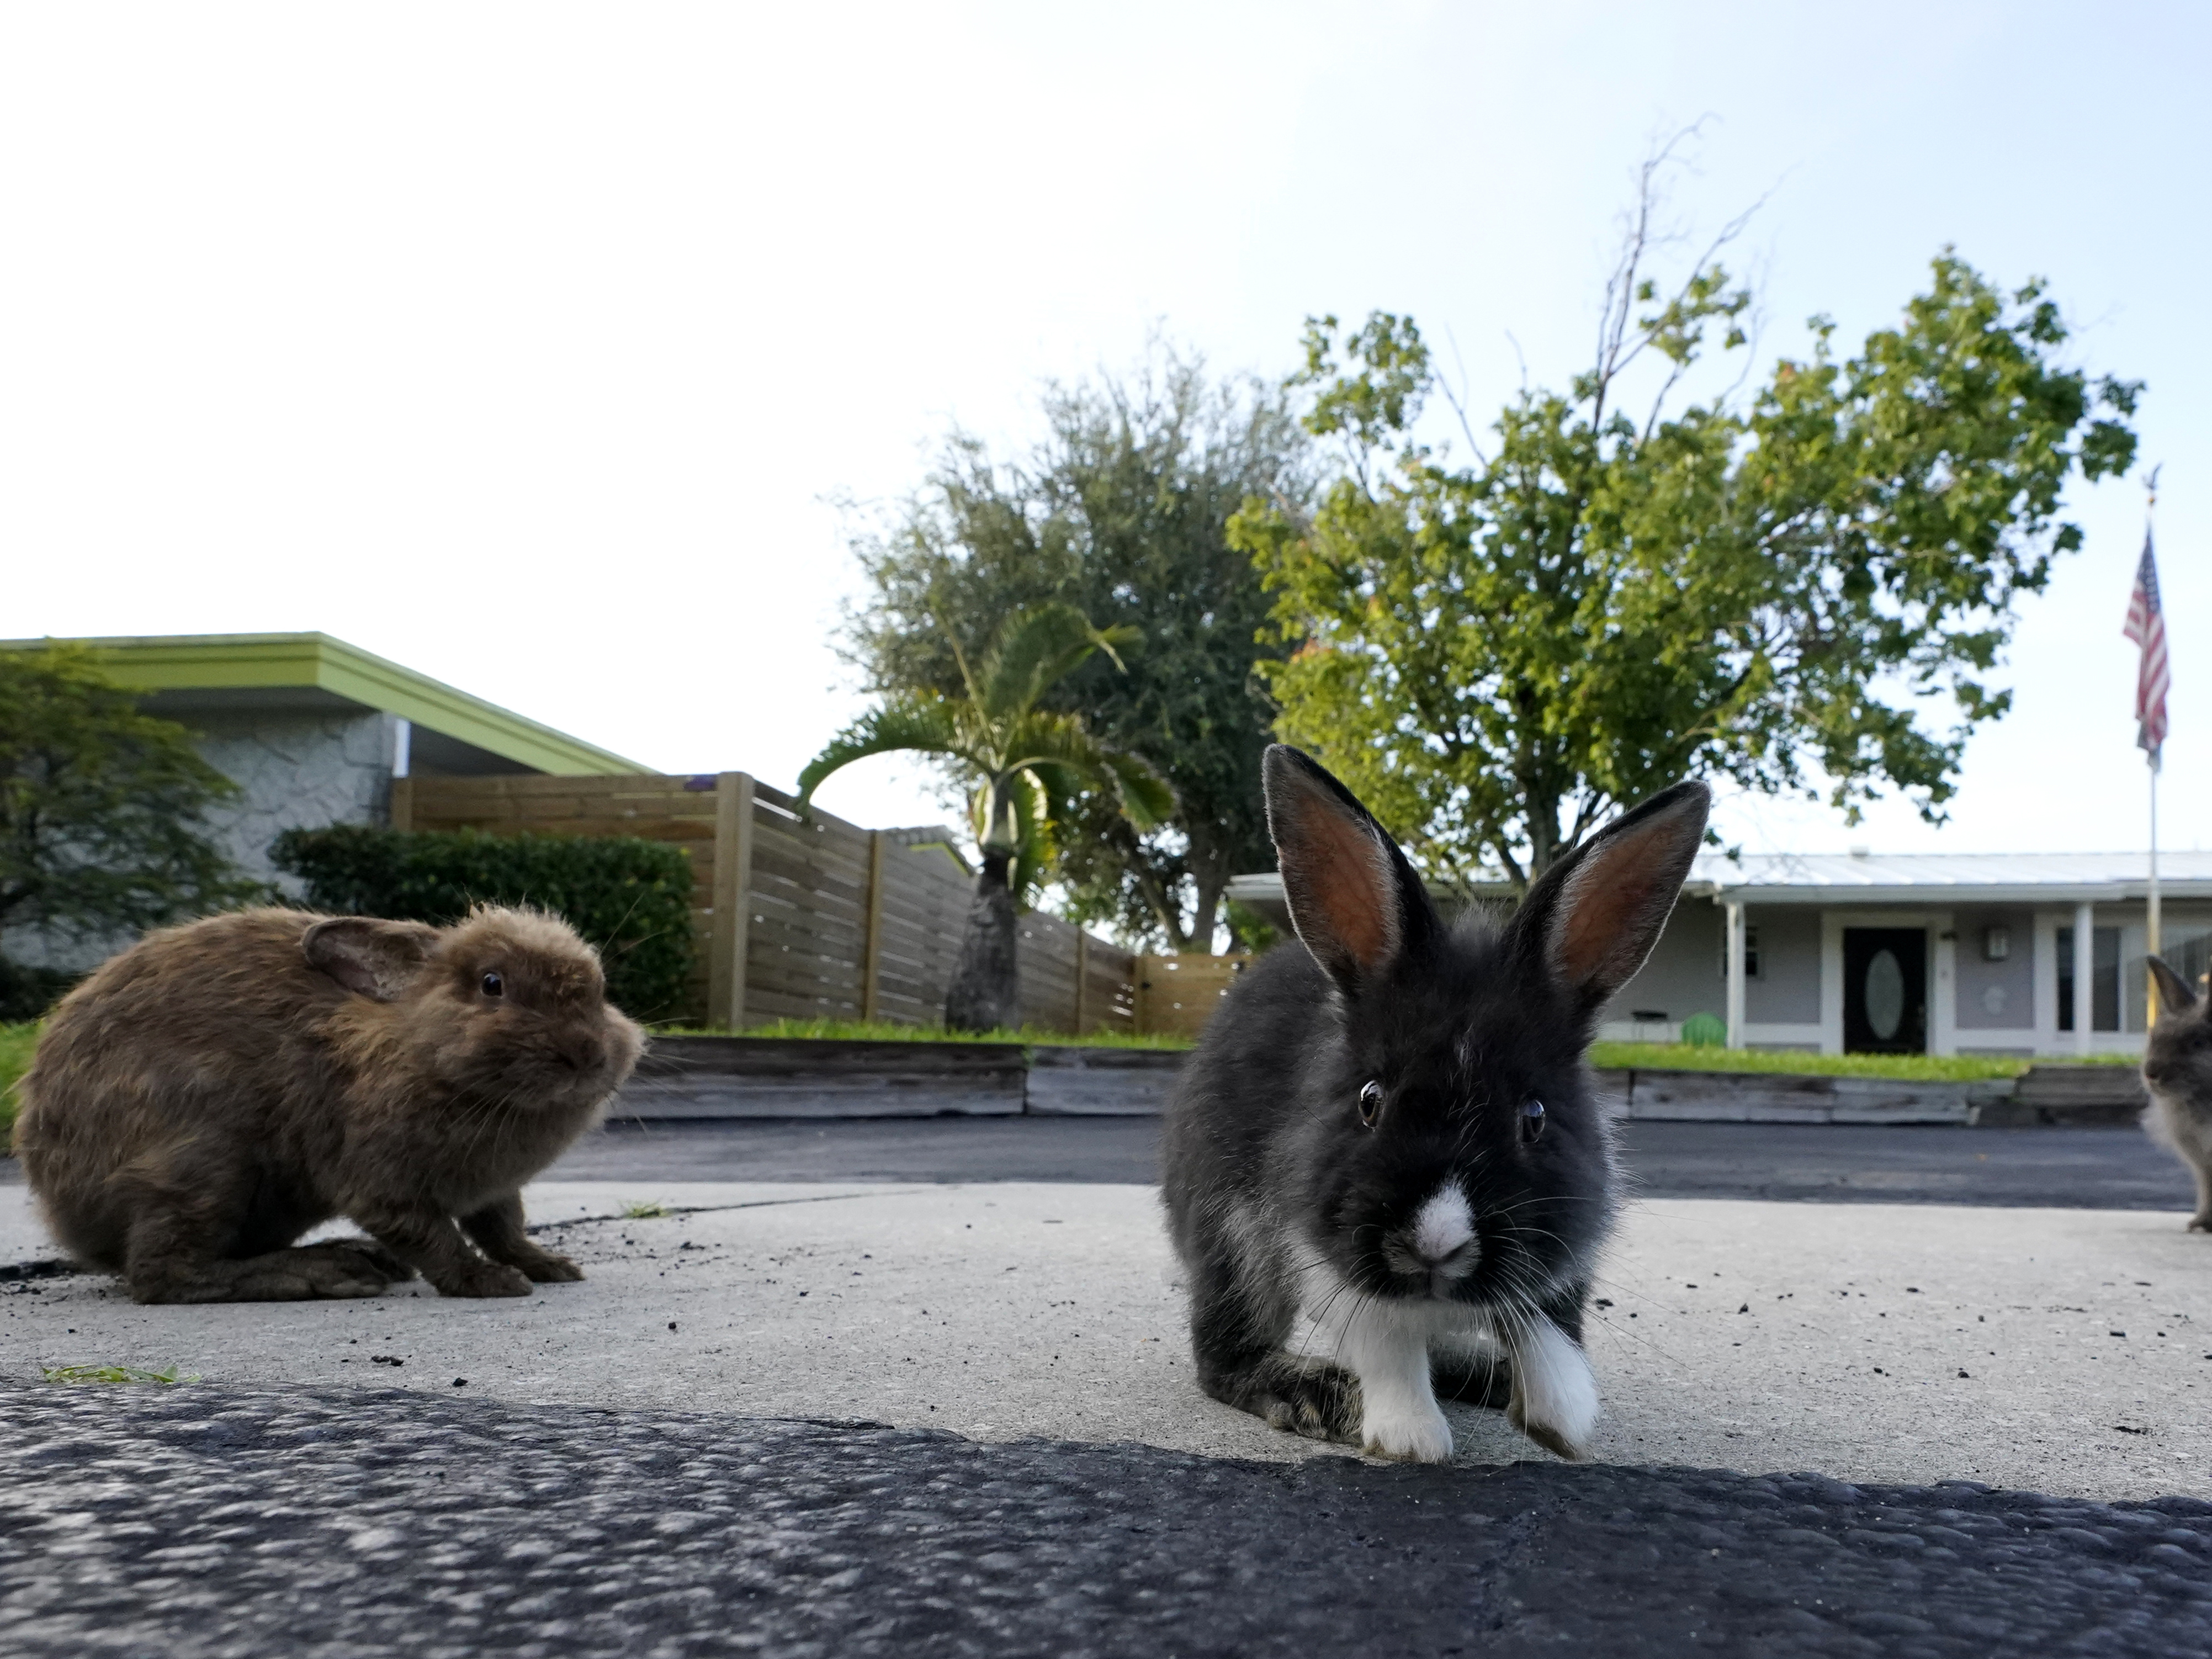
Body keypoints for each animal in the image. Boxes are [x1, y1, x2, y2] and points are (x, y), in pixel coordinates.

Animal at [13, 904, 644, 1304]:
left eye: (600, 990)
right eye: (493, 984)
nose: (585, 1054)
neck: (418, 1052)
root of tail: (64, 1208)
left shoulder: (492, 1189)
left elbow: (504, 1227)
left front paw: (551, 1266)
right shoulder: (379, 1183)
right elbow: (436, 1237)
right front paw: (490, 1283)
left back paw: (359, 1257)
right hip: (203, 1164)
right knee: (160, 1274)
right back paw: (326, 1272)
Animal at [1162, 745, 1708, 1464]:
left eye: (1533, 1117)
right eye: (1369, 1100)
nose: (1434, 1244)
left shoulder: (1561, 1257)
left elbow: (1547, 1330)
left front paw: (1560, 1417)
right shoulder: (1319, 1251)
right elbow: (1386, 1341)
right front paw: (1411, 1437)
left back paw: (1484, 1373)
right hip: (1231, 1242)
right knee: (1223, 1356)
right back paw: (1319, 1393)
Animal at [2140, 956, 2212, 1232]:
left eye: (2198, 1043)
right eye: (2154, 1036)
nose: (2151, 1073)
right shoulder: (2202, 1162)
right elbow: (2207, 1188)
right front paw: (2200, 1224)